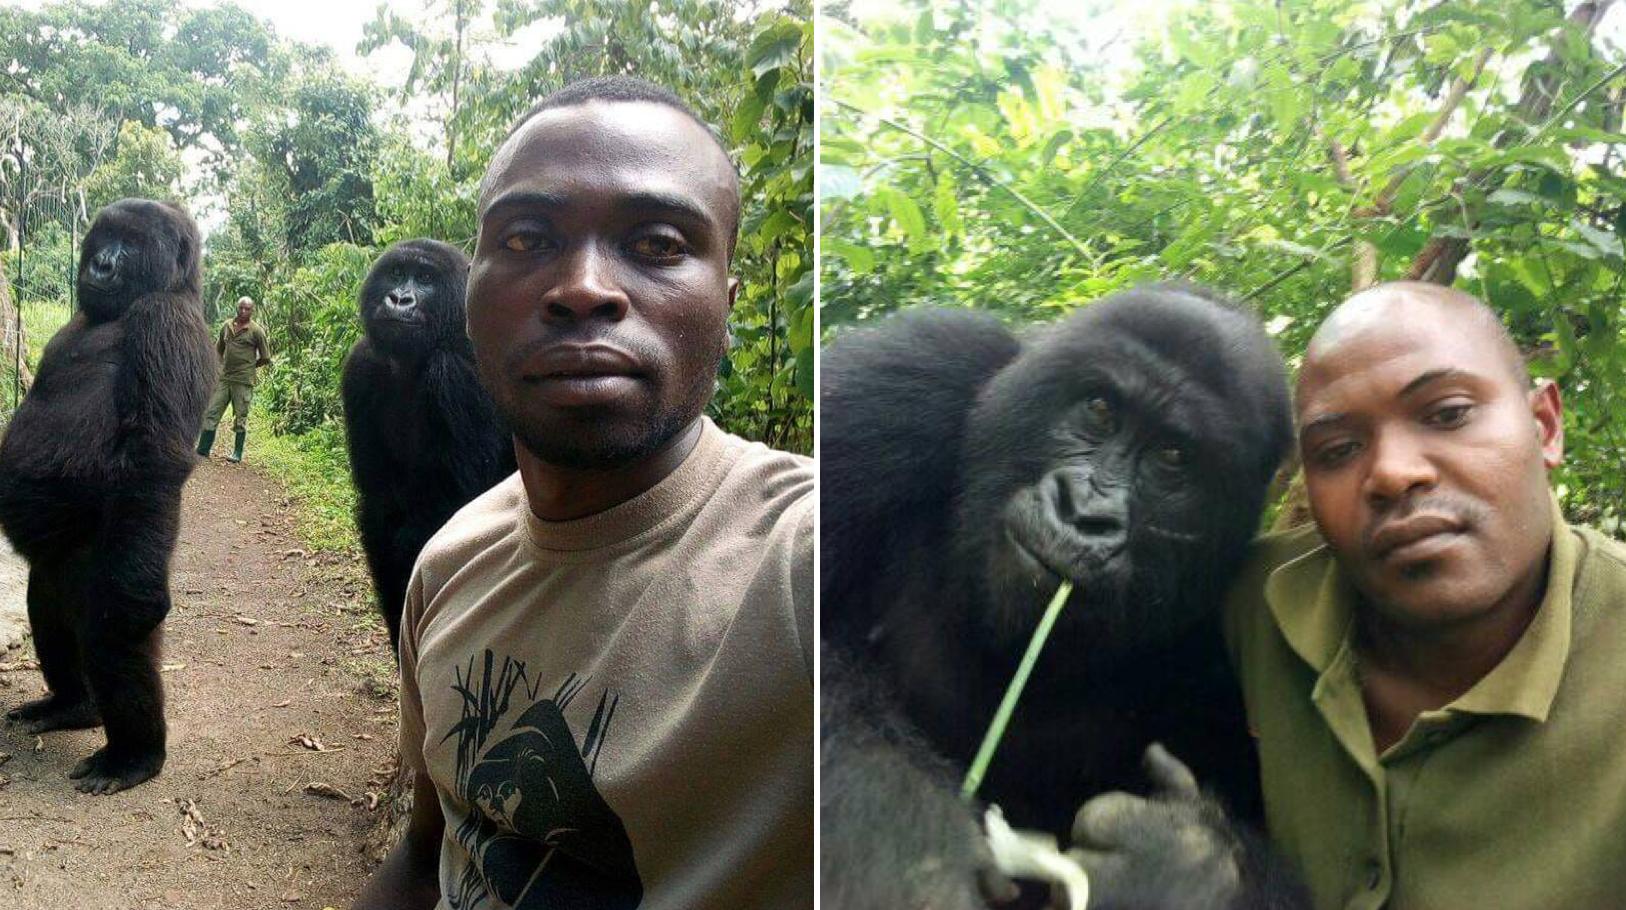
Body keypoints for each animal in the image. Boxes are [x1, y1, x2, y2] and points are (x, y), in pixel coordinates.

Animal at [0, 197, 214, 789]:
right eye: (106, 237)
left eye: (133, 244)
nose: (101, 263)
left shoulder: (166, 323)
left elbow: (152, 461)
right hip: (56, 569)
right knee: (47, 611)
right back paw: (71, 705)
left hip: (111, 565)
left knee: (114, 639)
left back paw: (134, 754)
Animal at [341, 238, 513, 656]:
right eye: (397, 273)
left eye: (425, 279)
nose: (399, 299)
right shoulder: (361, 365)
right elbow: (380, 515)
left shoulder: (458, 375)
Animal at [819, 282, 1313, 903]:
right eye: (1099, 410)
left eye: (1173, 456)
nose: (1086, 513)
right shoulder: (904, 379)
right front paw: (904, 841)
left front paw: (1178, 865)